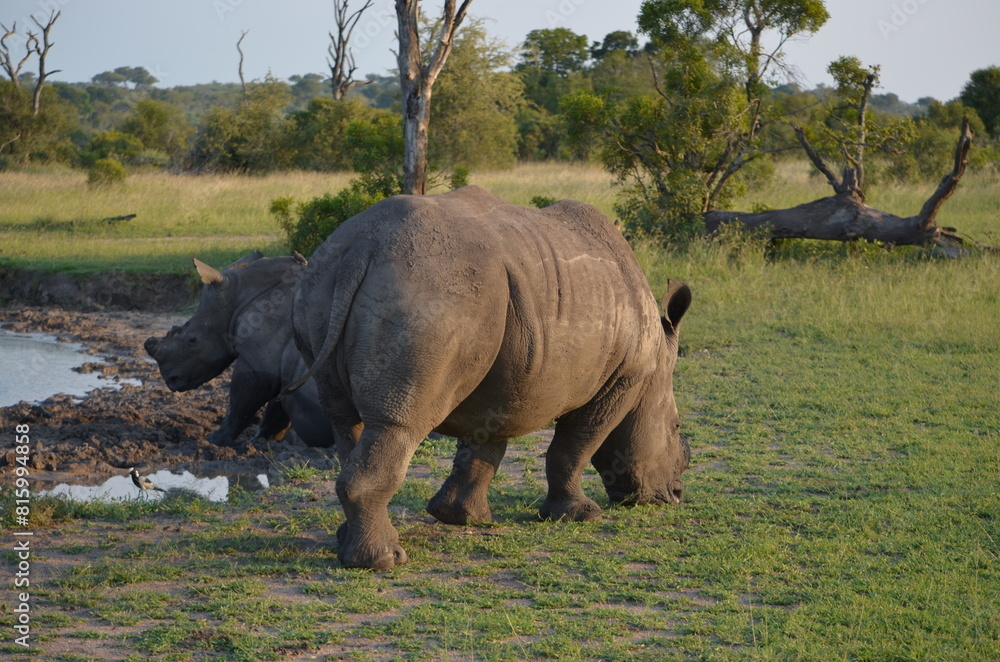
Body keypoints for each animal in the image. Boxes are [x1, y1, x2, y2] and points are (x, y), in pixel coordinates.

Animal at [144, 252, 334, 449]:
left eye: (192, 340)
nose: (170, 380)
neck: (237, 295)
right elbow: (276, 410)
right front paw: (263, 442)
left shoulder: (258, 362)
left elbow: (240, 404)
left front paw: (214, 441)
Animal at [288, 185, 692, 570]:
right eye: (675, 428)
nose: (675, 496)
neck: (654, 368)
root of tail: (362, 248)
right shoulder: (623, 379)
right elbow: (575, 447)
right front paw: (579, 516)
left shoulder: (508, 374)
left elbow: (484, 445)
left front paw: (462, 517)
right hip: (430, 293)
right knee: (396, 423)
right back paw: (384, 561)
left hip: (333, 285)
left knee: (344, 419)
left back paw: (348, 542)